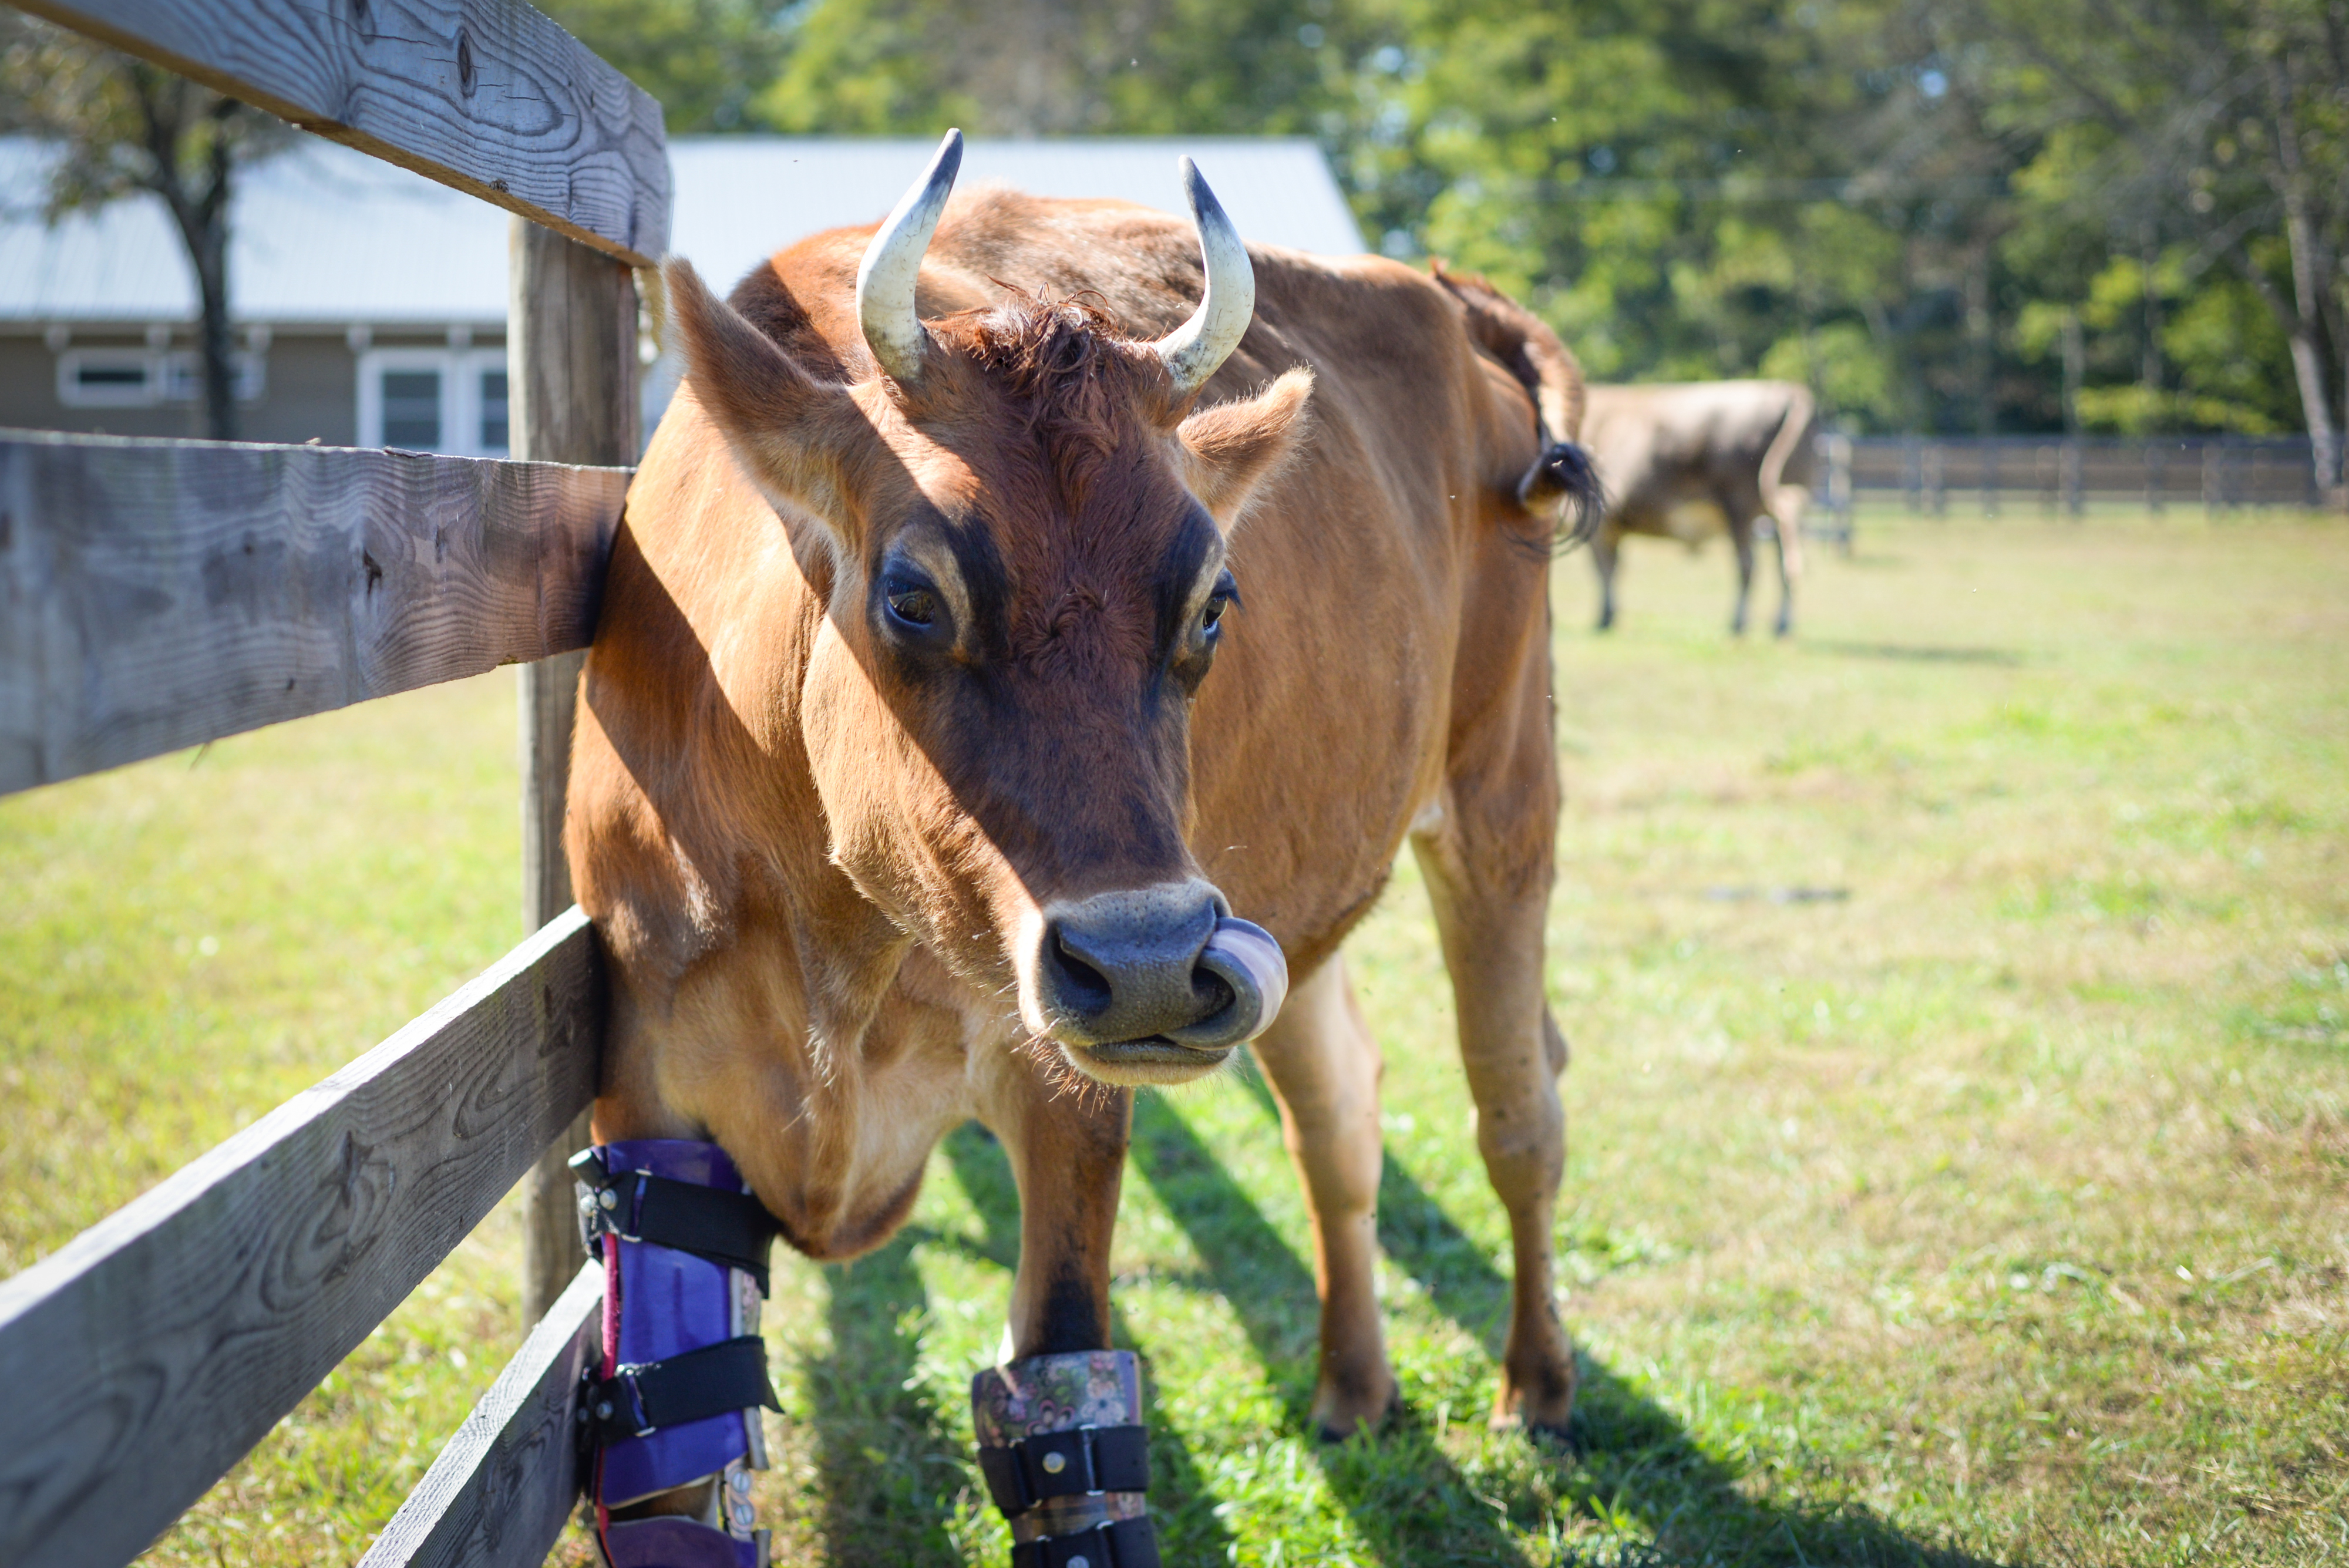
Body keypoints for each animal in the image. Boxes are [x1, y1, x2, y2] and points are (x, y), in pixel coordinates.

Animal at [564, 137, 1597, 1559]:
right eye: (912, 595)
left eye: (1213, 602)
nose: (1151, 963)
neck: (834, 935)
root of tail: (1440, 288)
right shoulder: (645, 1084)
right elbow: (675, 1455)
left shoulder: (1065, 1093)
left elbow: (1067, 1413)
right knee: (1338, 1112)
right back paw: (1351, 1387)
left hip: (1498, 799)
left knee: (1517, 1106)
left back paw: (1537, 1386)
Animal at [1579, 375, 1813, 634]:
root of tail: (1785, 389)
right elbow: (1610, 567)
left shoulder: (1603, 521)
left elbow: (1605, 568)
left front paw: (1606, 617)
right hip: (1784, 506)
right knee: (1787, 563)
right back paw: (1781, 624)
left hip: (1741, 507)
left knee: (1749, 566)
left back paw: (1739, 622)